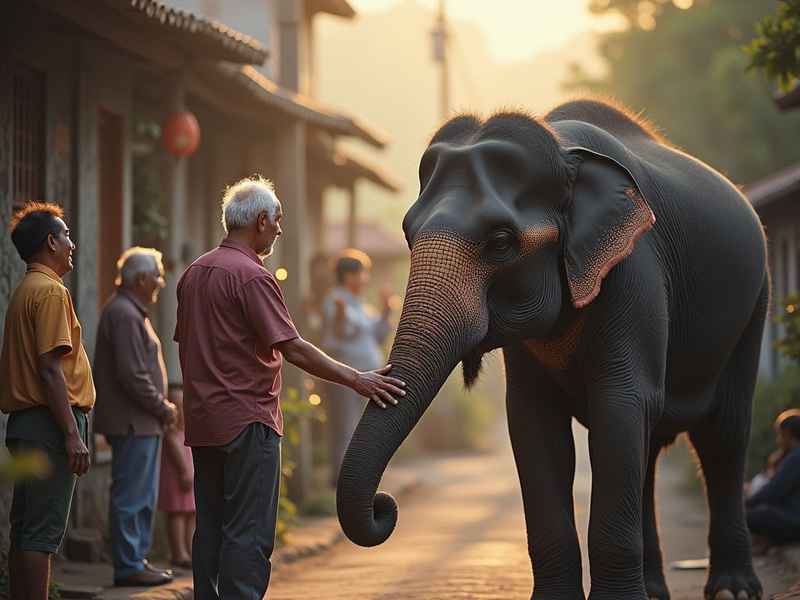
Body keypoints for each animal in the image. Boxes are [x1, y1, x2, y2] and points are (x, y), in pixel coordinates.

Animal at [336, 98, 768, 600]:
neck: (566, 154)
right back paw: (655, 591)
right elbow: (534, 422)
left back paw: (733, 590)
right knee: (649, 445)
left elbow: (620, 404)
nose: (384, 505)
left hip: (753, 305)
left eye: (500, 242)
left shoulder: (635, 269)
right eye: (408, 233)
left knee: (723, 435)